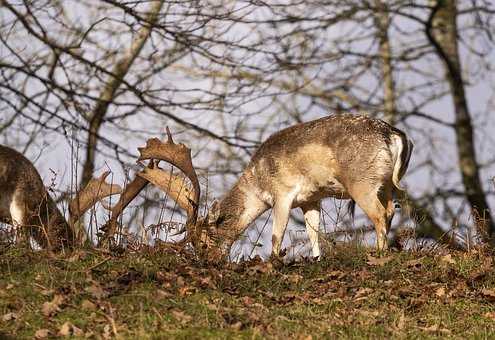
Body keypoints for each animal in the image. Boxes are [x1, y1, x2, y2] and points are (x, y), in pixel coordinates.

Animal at [101, 114, 414, 260]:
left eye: (205, 239)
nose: (209, 260)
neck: (257, 182)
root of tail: (394, 135)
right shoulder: (311, 198)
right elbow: (314, 233)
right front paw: (315, 259)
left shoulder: (283, 193)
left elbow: (276, 236)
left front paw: (273, 262)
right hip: (385, 184)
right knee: (390, 210)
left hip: (362, 182)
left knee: (378, 215)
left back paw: (380, 254)